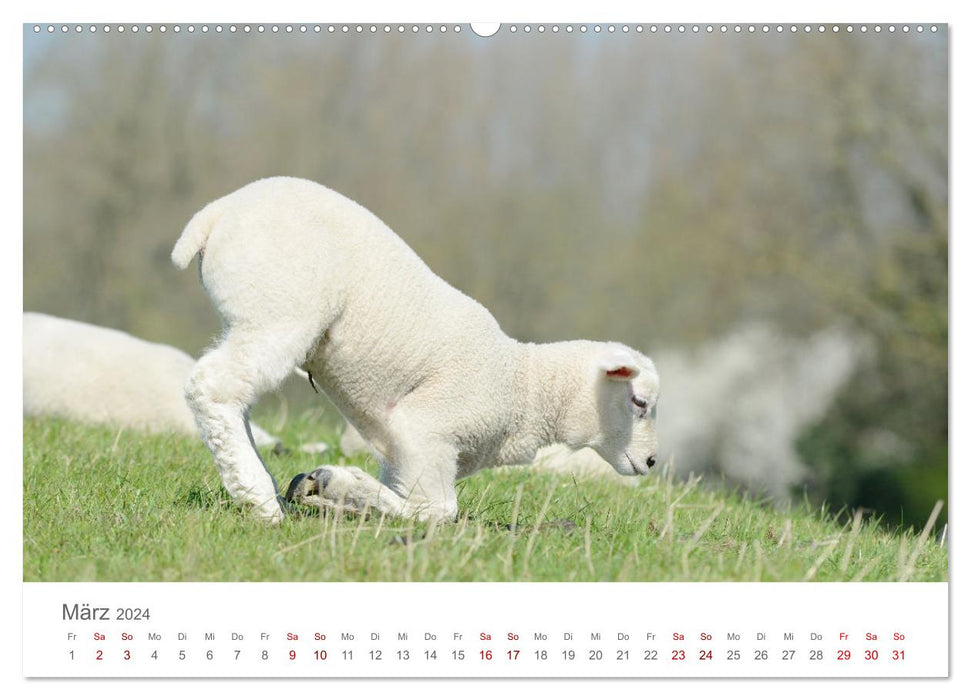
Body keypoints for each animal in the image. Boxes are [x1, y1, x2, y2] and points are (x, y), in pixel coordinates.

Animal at [173, 178, 660, 524]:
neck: (524, 386)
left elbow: (410, 498)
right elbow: (440, 513)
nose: (653, 461)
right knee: (211, 387)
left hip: (255, 317)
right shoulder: (426, 428)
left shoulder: (407, 454)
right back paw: (258, 497)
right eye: (639, 402)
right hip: (280, 312)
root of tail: (218, 212)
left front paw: (333, 498)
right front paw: (339, 486)